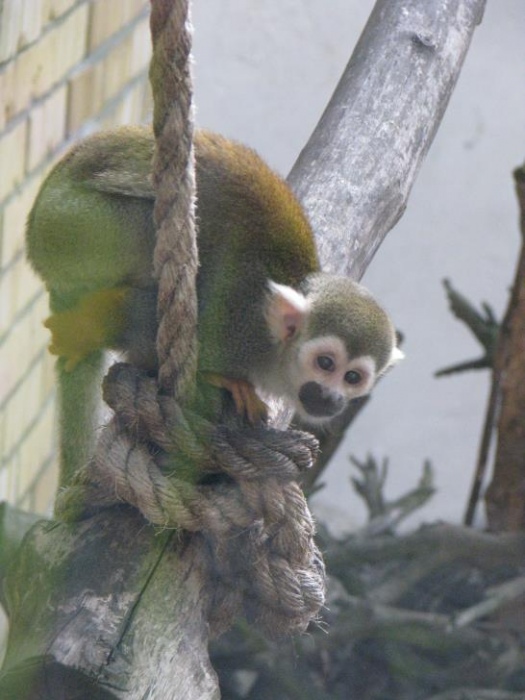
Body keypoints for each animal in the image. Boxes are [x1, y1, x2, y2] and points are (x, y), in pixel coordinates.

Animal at [26, 126, 402, 485]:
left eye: (352, 377)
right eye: (325, 363)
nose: (332, 398)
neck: (271, 346)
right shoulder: (236, 319)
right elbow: (149, 326)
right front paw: (220, 378)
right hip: (72, 223)